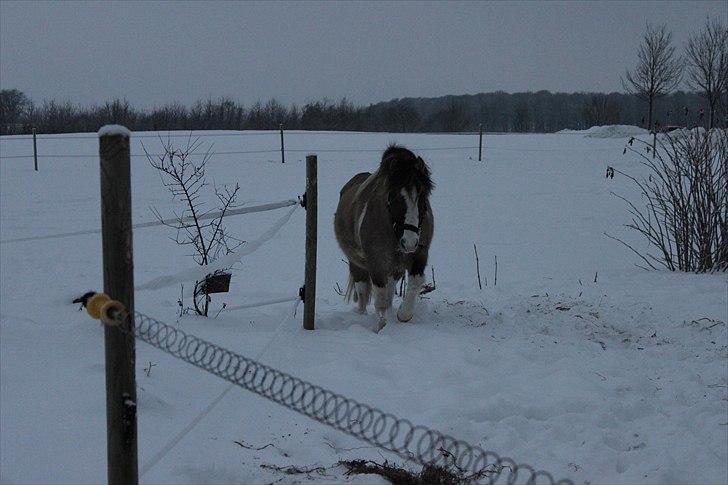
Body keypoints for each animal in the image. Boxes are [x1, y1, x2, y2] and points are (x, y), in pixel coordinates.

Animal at [334, 144, 432, 330]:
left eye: (423, 197)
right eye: (394, 197)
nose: (409, 242)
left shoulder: (419, 255)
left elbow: (415, 283)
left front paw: (403, 315)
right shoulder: (376, 262)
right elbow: (379, 298)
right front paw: (380, 327)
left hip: (395, 267)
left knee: (389, 291)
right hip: (357, 264)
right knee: (362, 292)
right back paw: (362, 315)